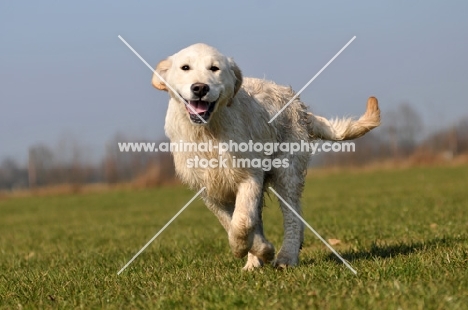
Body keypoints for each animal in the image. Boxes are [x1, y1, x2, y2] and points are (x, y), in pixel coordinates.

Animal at [152, 43, 378, 268]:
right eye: (185, 67)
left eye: (214, 68)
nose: (200, 88)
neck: (207, 132)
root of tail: (297, 104)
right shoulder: (208, 190)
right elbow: (232, 222)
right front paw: (259, 251)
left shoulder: (249, 176)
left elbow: (241, 223)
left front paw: (257, 250)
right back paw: (255, 263)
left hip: (287, 172)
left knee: (292, 218)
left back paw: (286, 257)